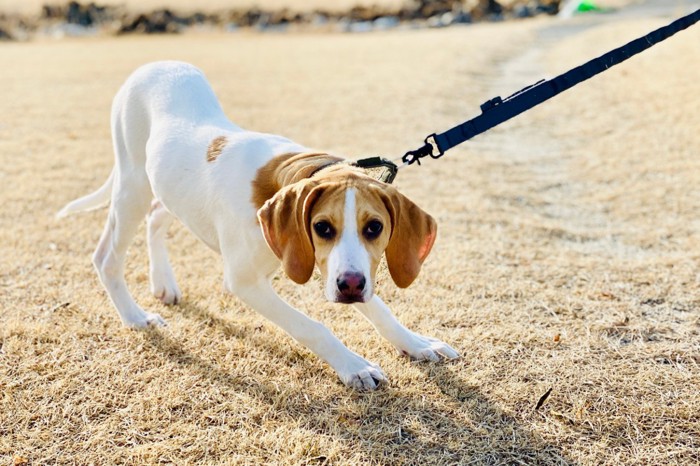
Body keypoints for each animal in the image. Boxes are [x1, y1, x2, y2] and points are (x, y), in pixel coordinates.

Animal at [57, 61, 456, 390]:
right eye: (323, 227)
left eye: (374, 228)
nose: (351, 287)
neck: (286, 175)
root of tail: (151, 66)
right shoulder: (246, 282)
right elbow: (313, 327)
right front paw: (354, 366)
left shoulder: (328, 265)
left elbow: (380, 310)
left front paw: (415, 343)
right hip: (133, 185)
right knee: (107, 256)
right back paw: (136, 317)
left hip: (168, 189)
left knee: (157, 215)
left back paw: (163, 284)